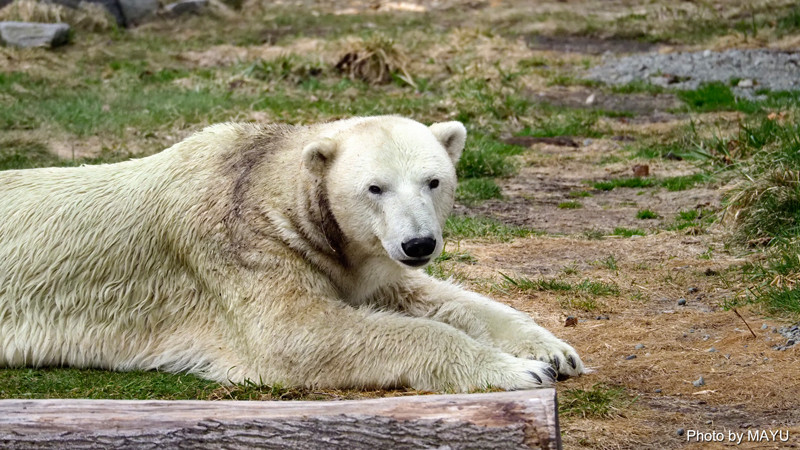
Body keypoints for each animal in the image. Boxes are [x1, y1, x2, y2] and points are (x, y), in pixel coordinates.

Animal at [1, 115, 588, 390]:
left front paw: (553, 351)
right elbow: (299, 335)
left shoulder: (361, 259)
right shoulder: (238, 247)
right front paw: (520, 371)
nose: (418, 243)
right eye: (375, 188)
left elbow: (425, 295)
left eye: (434, 180)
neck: (260, 179)